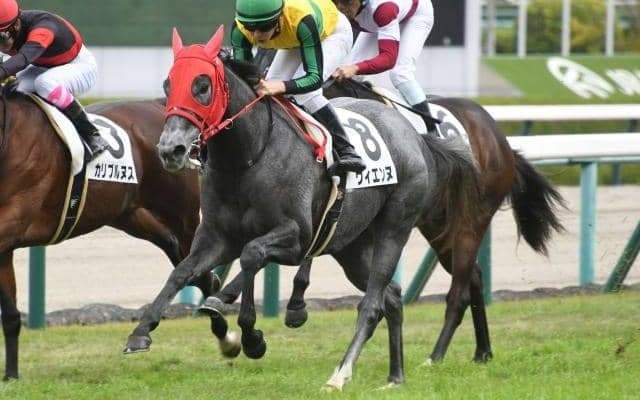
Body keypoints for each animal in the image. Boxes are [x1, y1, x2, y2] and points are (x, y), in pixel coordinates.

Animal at [0, 88, 222, 381]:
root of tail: (157, 105)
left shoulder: (13, 219)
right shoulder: (5, 247)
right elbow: (11, 316)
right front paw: (11, 375)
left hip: (181, 214)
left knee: (196, 265)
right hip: (132, 215)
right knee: (180, 256)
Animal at [123, 26, 484, 390]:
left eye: (202, 86)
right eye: (168, 85)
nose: (171, 150)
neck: (249, 156)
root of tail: (413, 133)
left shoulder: (296, 238)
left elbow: (252, 255)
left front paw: (252, 336)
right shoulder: (217, 237)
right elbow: (183, 271)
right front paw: (141, 332)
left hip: (394, 227)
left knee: (372, 304)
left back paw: (340, 374)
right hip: (352, 246)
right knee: (392, 296)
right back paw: (395, 375)